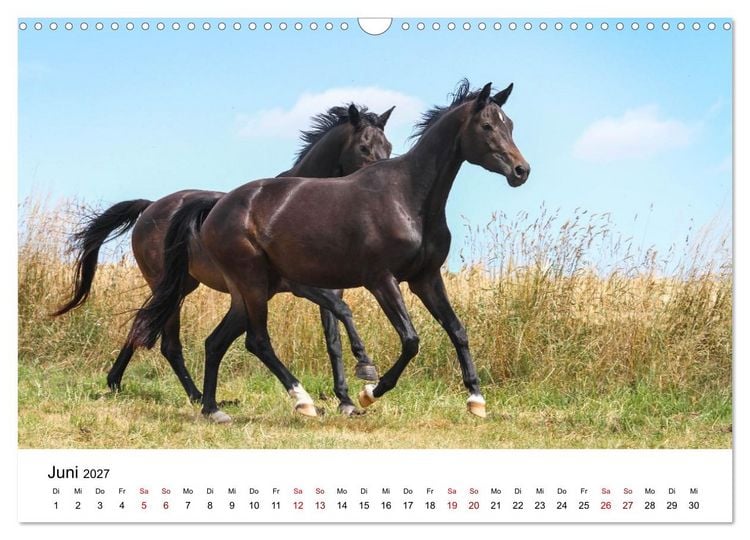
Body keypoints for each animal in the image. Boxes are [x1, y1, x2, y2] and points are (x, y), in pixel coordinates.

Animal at [54, 104, 395, 417]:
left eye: (388, 147)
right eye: (363, 147)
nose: (383, 186)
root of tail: (150, 207)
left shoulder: (327, 289)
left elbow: (333, 339)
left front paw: (347, 400)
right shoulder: (303, 287)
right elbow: (343, 314)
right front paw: (363, 371)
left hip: (182, 286)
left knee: (145, 324)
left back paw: (126, 383)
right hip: (174, 288)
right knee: (166, 341)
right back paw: (190, 396)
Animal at [130, 79, 529, 422]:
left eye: (510, 125)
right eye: (488, 127)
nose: (520, 171)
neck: (408, 197)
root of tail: (215, 208)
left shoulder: (425, 279)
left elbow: (457, 330)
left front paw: (476, 400)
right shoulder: (380, 280)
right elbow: (409, 339)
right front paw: (369, 389)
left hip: (248, 292)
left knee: (216, 342)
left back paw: (213, 409)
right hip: (252, 285)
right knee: (256, 341)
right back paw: (302, 402)